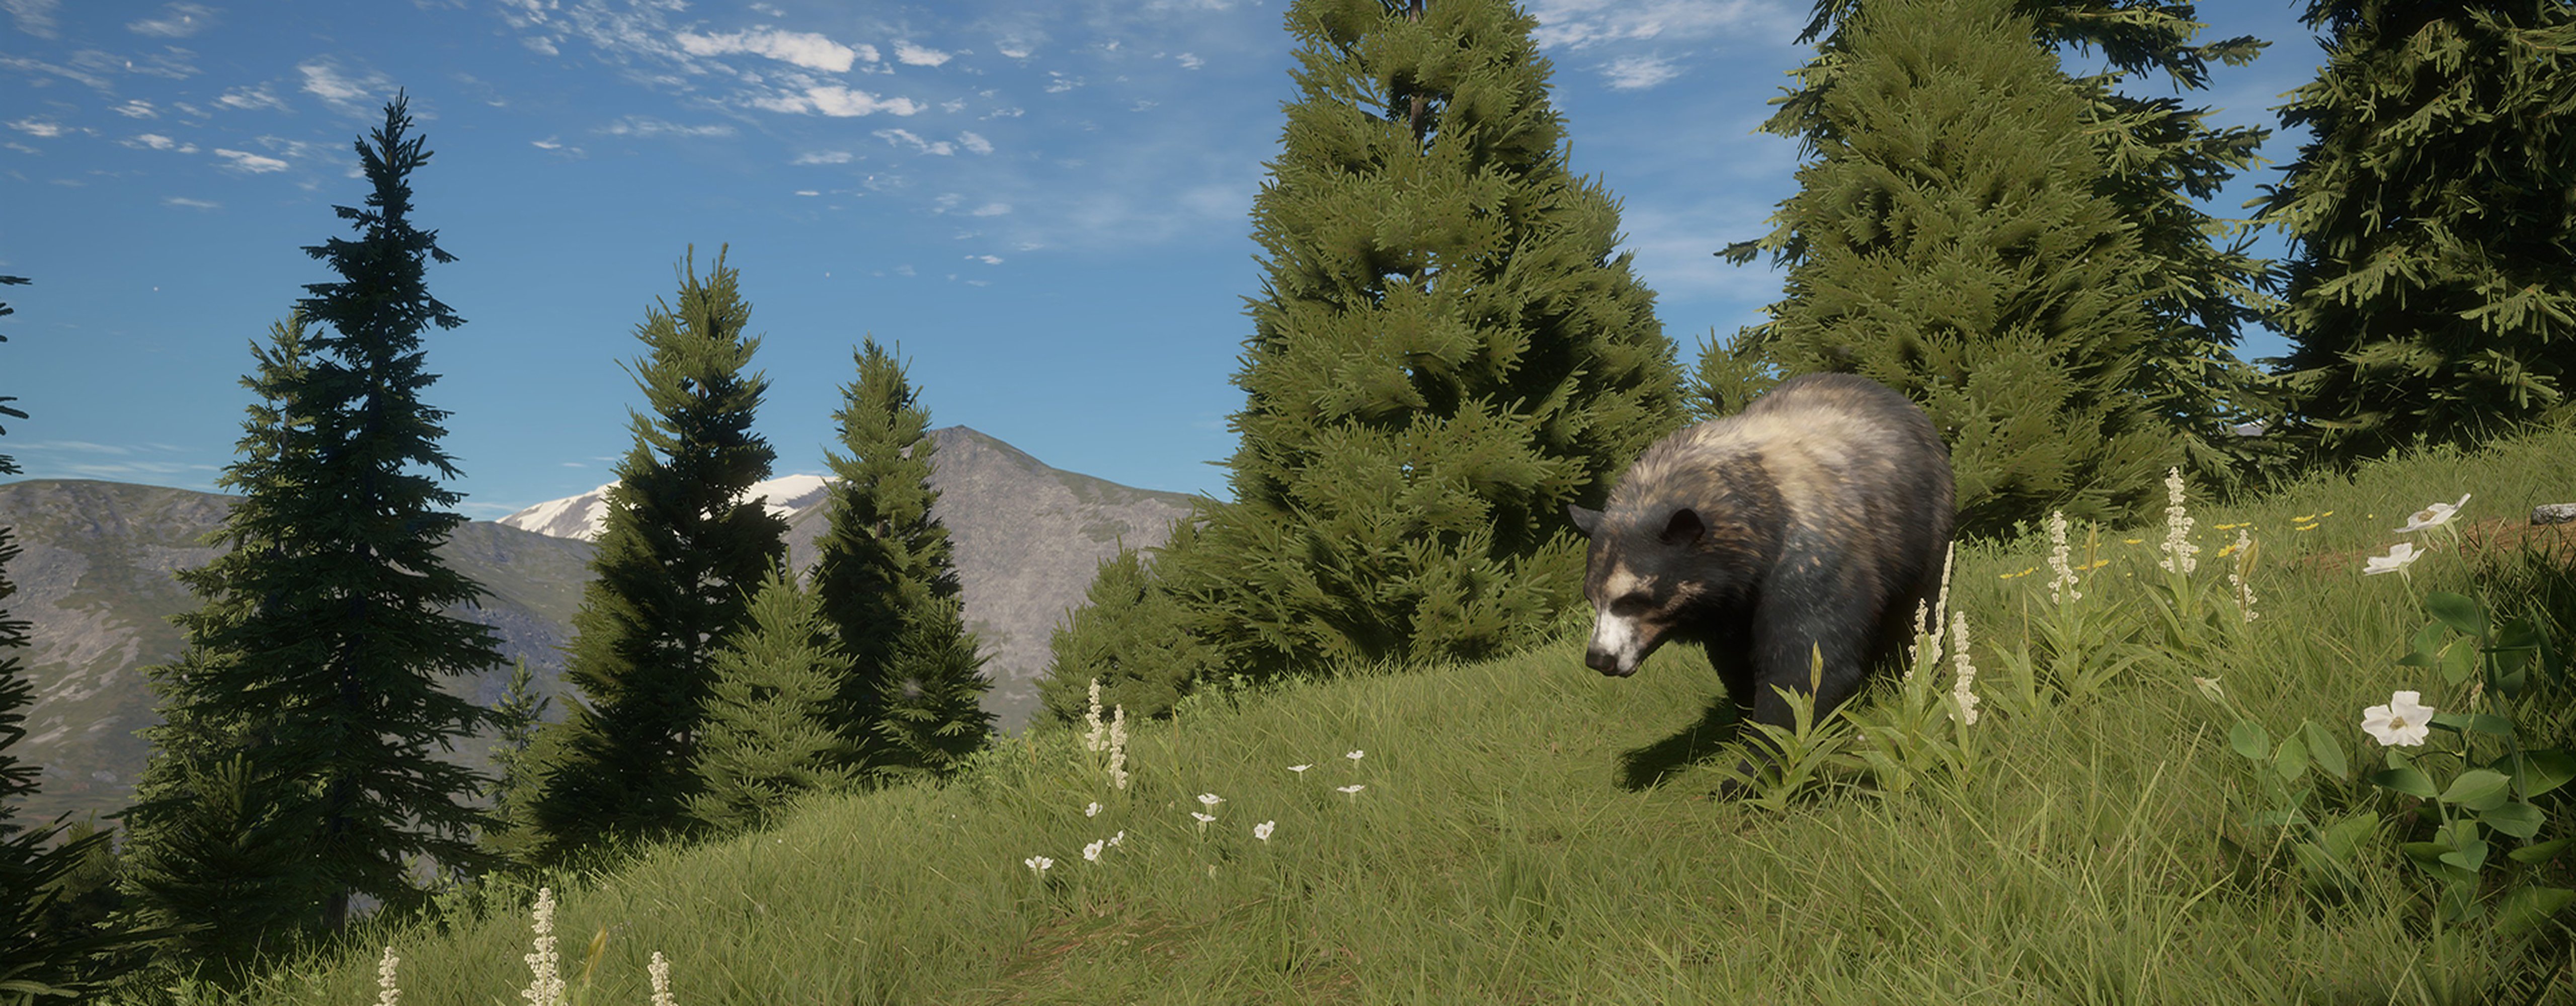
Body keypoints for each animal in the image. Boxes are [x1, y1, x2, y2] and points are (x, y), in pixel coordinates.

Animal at [1567, 372, 1955, 765]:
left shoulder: (1810, 556)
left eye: (1633, 598)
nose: (1599, 659)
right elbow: (1735, 662)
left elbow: (1805, 664)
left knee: (1922, 606)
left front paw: (1762, 760)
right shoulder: (1728, 607)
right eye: (1591, 597)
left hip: (1926, 528)